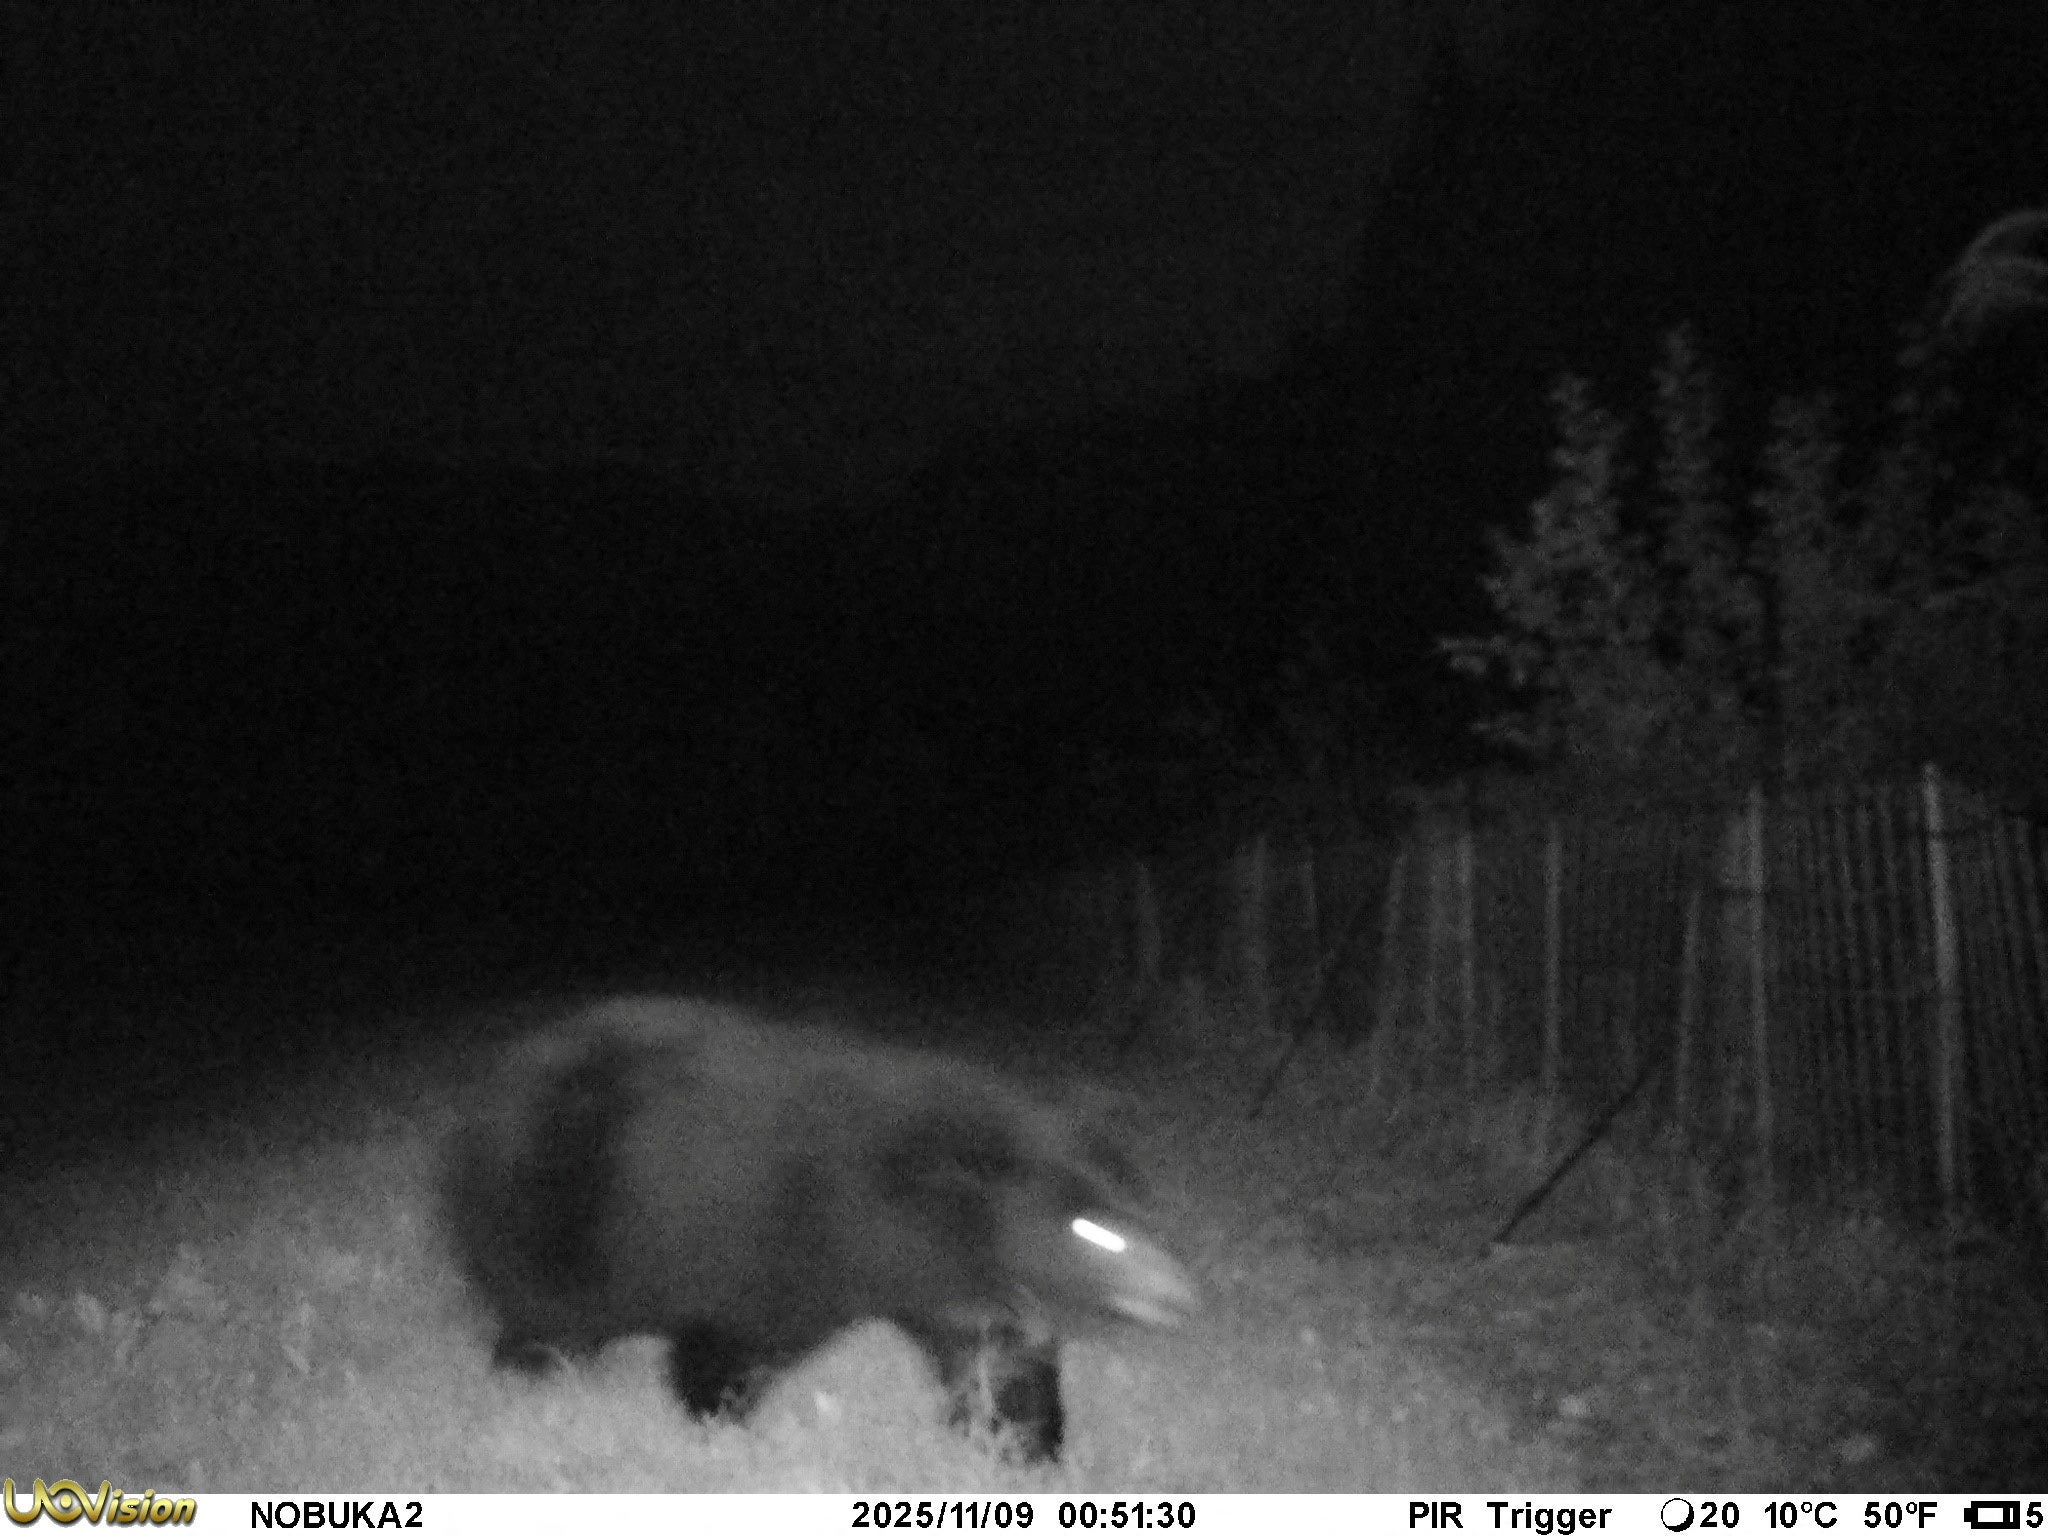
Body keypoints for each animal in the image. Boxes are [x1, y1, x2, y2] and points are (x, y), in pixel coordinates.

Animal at [441, 996, 1199, 1463]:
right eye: (1093, 1232)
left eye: (1143, 1220)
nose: (1183, 1298)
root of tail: (486, 1091)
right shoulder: (776, 1238)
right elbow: (730, 1341)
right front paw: (717, 1423)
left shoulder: (958, 1287)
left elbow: (997, 1361)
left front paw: (1024, 1445)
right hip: (553, 1209)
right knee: (548, 1307)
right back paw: (535, 1369)